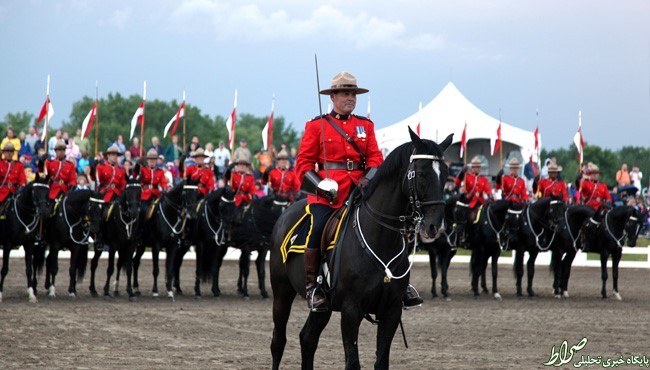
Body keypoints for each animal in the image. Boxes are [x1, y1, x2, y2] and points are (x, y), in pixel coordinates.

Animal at [270, 130, 450, 370]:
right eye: (421, 173)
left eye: (446, 173)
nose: (435, 226)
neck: (380, 238)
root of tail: (285, 214)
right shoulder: (351, 310)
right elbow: (353, 362)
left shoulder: (391, 311)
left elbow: (381, 362)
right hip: (281, 292)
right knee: (278, 341)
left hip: (323, 308)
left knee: (307, 339)